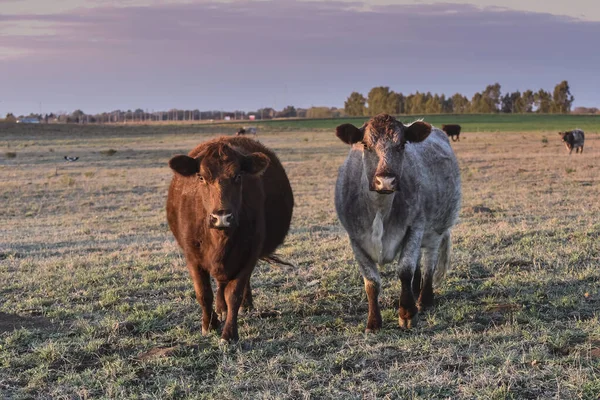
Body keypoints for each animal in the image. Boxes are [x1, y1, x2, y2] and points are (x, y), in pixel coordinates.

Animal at [166, 136, 292, 342]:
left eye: (238, 176)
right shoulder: (192, 257)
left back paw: (243, 306)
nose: (222, 217)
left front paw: (229, 333)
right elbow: (203, 293)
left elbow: (234, 294)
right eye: (201, 177)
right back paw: (220, 309)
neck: (219, 240)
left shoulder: (249, 255)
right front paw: (209, 325)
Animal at [336, 115, 462, 332]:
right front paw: (373, 322)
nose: (386, 181)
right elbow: (371, 282)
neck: (380, 209)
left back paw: (424, 298)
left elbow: (405, 269)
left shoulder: (415, 226)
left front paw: (408, 313)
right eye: (365, 144)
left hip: (435, 230)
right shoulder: (355, 238)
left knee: (429, 261)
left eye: (402, 144)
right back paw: (416, 289)